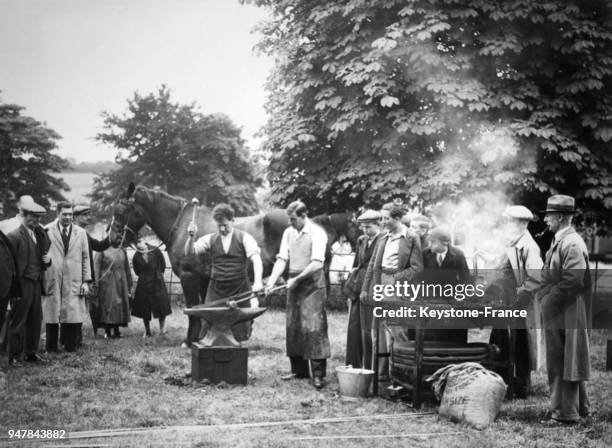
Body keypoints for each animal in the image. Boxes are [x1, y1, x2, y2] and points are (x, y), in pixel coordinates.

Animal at [109, 184, 358, 344]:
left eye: (121, 210)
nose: (112, 238)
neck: (182, 226)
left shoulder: (189, 278)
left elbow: (193, 309)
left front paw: (190, 340)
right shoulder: (203, 279)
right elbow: (205, 308)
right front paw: (203, 337)